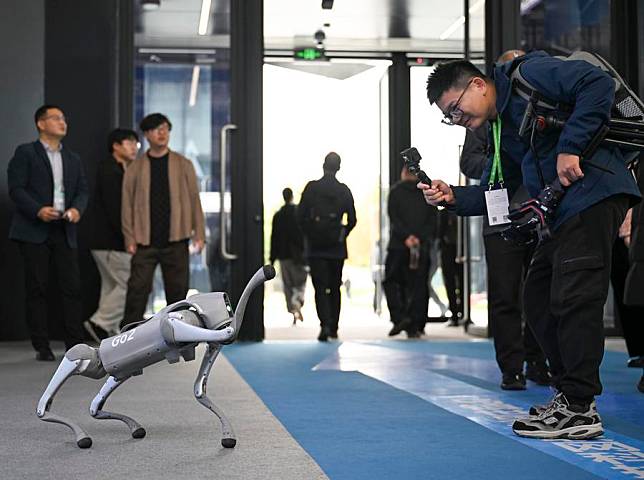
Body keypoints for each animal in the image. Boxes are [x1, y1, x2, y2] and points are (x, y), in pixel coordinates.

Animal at [36, 264, 276, 448]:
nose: (269, 270)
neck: (198, 316)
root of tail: (100, 352)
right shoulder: (173, 324)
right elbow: (182, 327)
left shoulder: (210, 344)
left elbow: (199, 389)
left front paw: (228, 436)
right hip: (94, 363)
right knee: (74, 357)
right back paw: (74, 431)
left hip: (122, 372)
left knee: (95, 407)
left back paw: (133, 427)